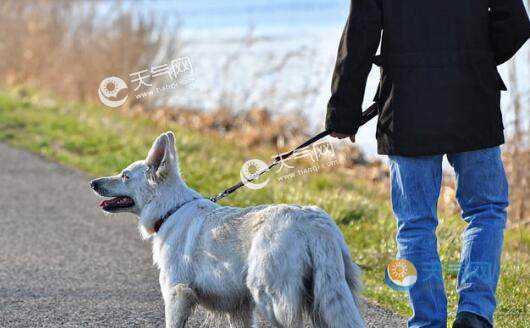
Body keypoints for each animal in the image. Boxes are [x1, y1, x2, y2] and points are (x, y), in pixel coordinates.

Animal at [91, 131, 364, 328]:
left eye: (125, 176)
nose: (93, 183)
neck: (171, 209)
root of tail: (313, 222)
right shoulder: (238, 308)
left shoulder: (176, 293)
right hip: (328, 298)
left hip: (270, 298)